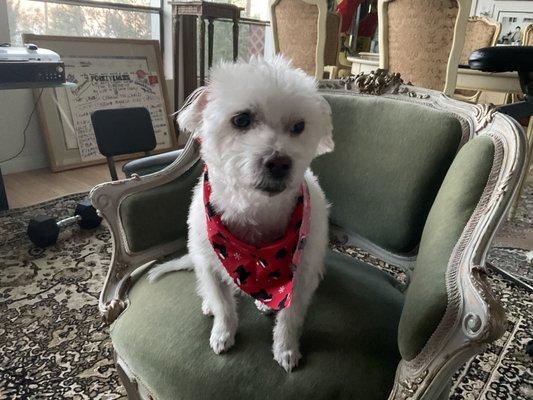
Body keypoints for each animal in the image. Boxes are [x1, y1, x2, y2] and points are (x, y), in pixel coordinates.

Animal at [148, 57, 332, 372]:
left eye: (299, 126)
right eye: (241, 119)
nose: (279, 162)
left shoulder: (301, 275)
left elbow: (290, 317)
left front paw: (286, 349)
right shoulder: (209, 263)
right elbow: (223, 306)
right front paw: (223, 332)